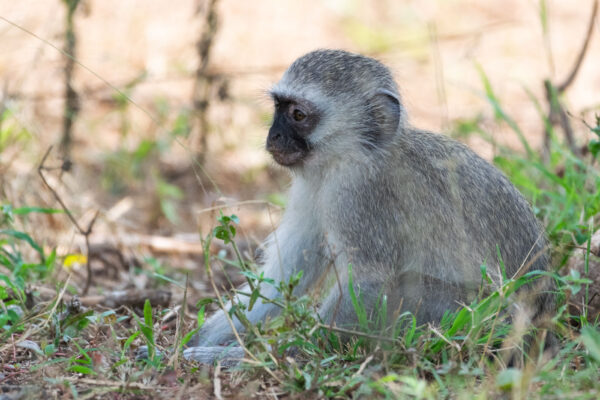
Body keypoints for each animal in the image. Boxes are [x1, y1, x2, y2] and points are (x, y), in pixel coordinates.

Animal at [185, 48, 556, 364]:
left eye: (298, 115)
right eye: (279, 108)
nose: (273, 137)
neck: (354, 153)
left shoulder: (358, 194)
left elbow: (369, 282)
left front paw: (269, 355)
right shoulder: (314, 187)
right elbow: (286, 271)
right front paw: (198, 340)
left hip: (480, 317)